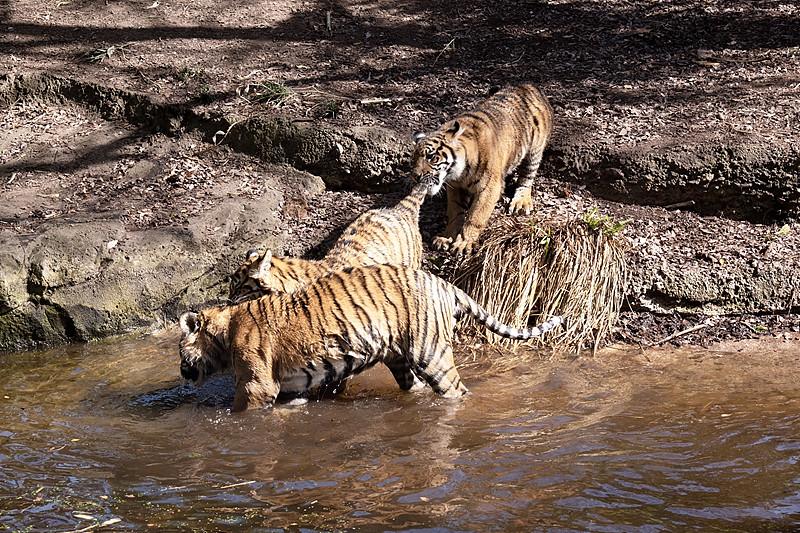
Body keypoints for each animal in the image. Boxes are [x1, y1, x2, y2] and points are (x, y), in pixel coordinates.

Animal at [179, 264, 563, 412]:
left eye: (181, 354)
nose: (182, 373)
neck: (225, 332)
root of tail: (443, 283)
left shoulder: (256, 385)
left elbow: (242, 410)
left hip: (431, 353)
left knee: (457, 390)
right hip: (400, 359)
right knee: (415, 387)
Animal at [411, 83, 553, 255]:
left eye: (432, 157)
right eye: (414, 160)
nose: (416, 176)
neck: (459, 173)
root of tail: (528, 86)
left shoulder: (489, 188)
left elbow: (475, 216)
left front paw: (464, 242)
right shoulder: (455, 187)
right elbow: (455, 212)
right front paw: (446, 237)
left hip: (534, 150)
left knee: (527, 176)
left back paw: (521, 202)